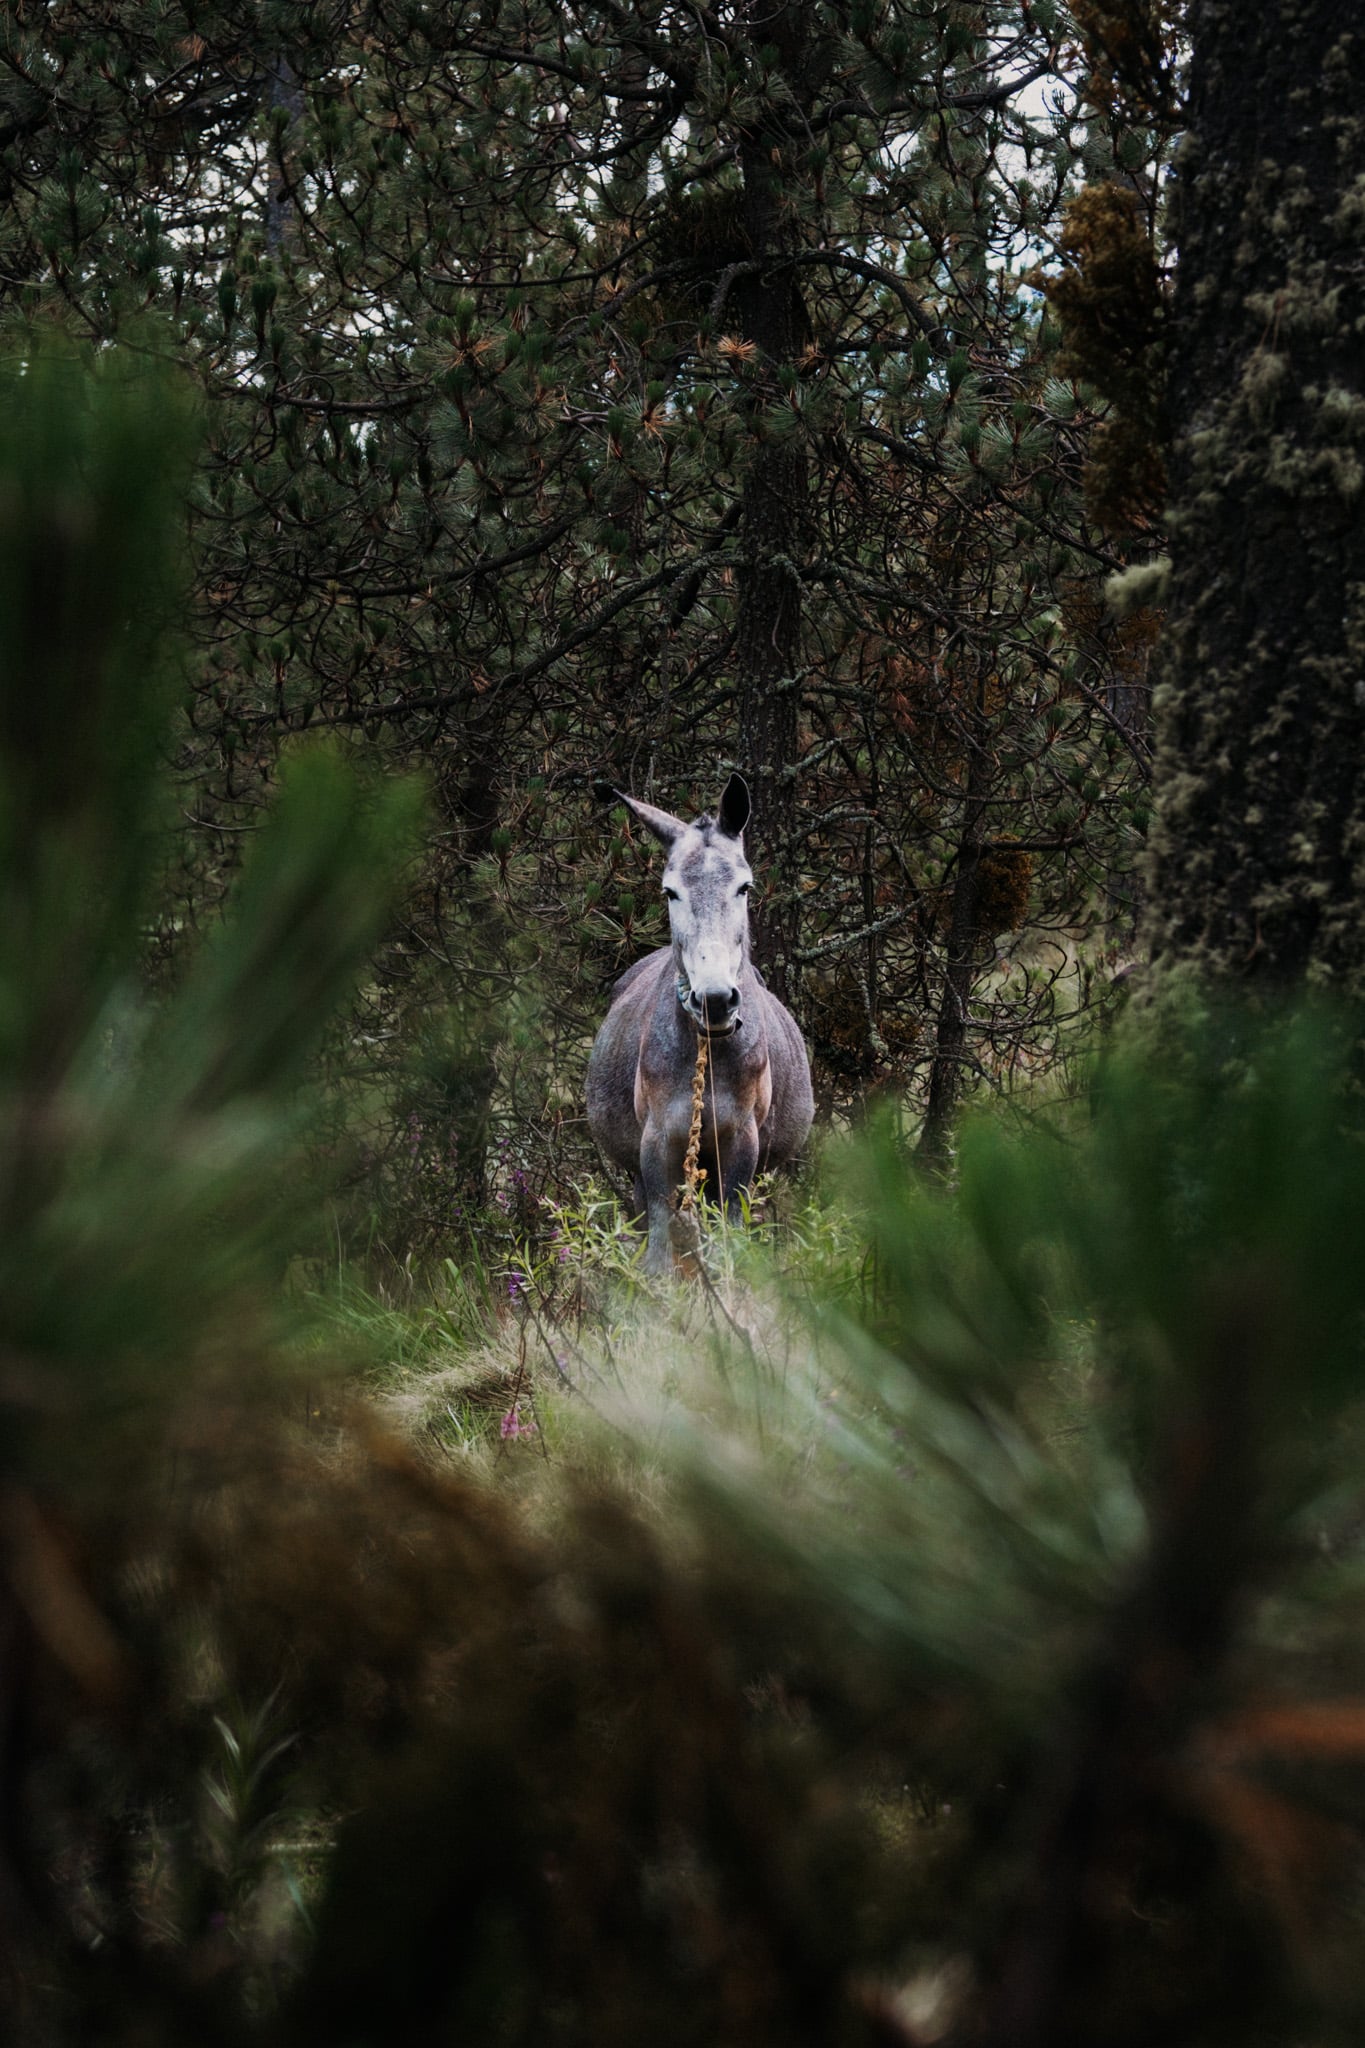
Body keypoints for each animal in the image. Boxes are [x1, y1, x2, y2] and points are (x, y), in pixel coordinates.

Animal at [586, 773, 814, 1275]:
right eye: (670, 892)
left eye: (745, 887)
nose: (714, 1000)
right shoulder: (659, 1137)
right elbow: (659, 1248)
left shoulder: (740, 1137)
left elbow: (729, 1238)